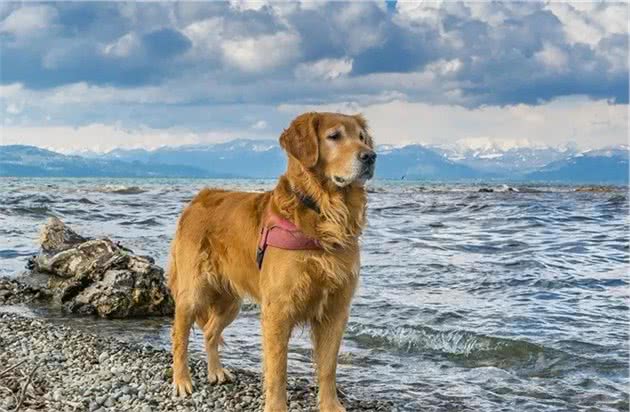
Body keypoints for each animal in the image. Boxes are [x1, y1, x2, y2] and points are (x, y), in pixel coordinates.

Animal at [167, 111, 376, 410]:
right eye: (334, 136)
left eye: (362, 138)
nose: (371, 156)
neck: (322, 212)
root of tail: (199, 197)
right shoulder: (278, 310)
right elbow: (278, 370)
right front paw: (276, 406)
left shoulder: (336, 309)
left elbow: (328, 367)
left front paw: (330, 405)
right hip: (193, 291)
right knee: (179, 336)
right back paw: (182, 380)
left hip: (231, 301)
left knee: (210, 332)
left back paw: (216, 371)